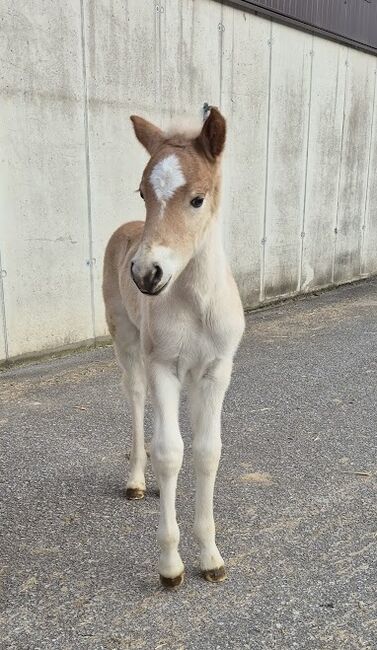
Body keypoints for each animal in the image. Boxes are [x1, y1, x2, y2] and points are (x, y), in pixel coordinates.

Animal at [102, 106, 244, 588]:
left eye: (197, 199)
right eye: (143, 192)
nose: (146, 274)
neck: (196, 303)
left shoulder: (216, 371)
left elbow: (205, 451)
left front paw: (211, 557)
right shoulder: (162, 365)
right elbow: (168, 452)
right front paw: (170, 565)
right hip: (127, 342)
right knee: (136, 399)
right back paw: (137, 480)